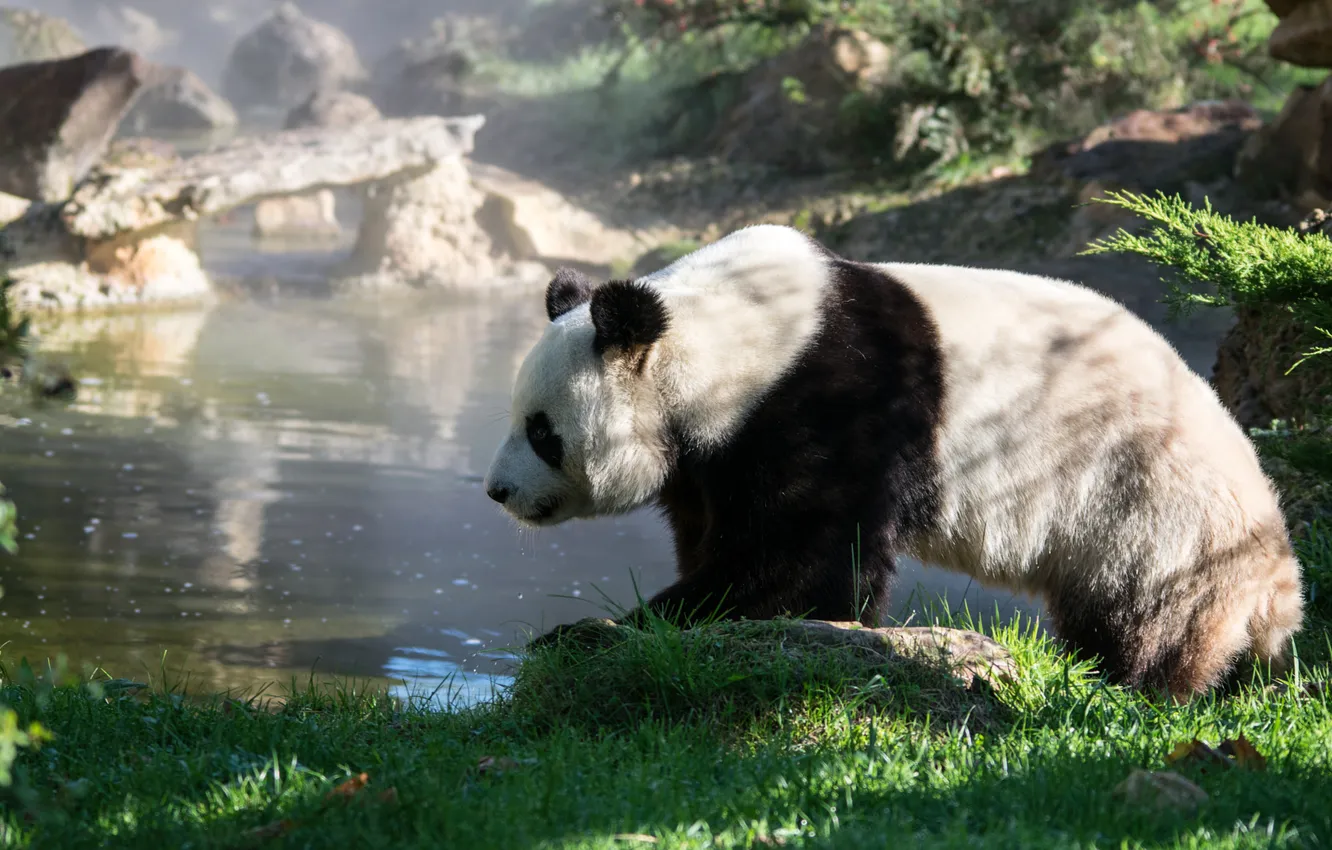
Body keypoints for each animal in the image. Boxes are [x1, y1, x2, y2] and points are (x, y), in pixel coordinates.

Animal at [483, 223, 1305, 699]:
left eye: (542, 431)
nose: (497, 492)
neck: (726, 339)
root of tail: (1280, 575)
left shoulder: (830, 399)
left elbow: (801, 565)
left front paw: (607, 630)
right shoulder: (713, 448)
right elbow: (721, 531)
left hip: (1151, 507)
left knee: (1150, 612)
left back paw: (1130, 683)